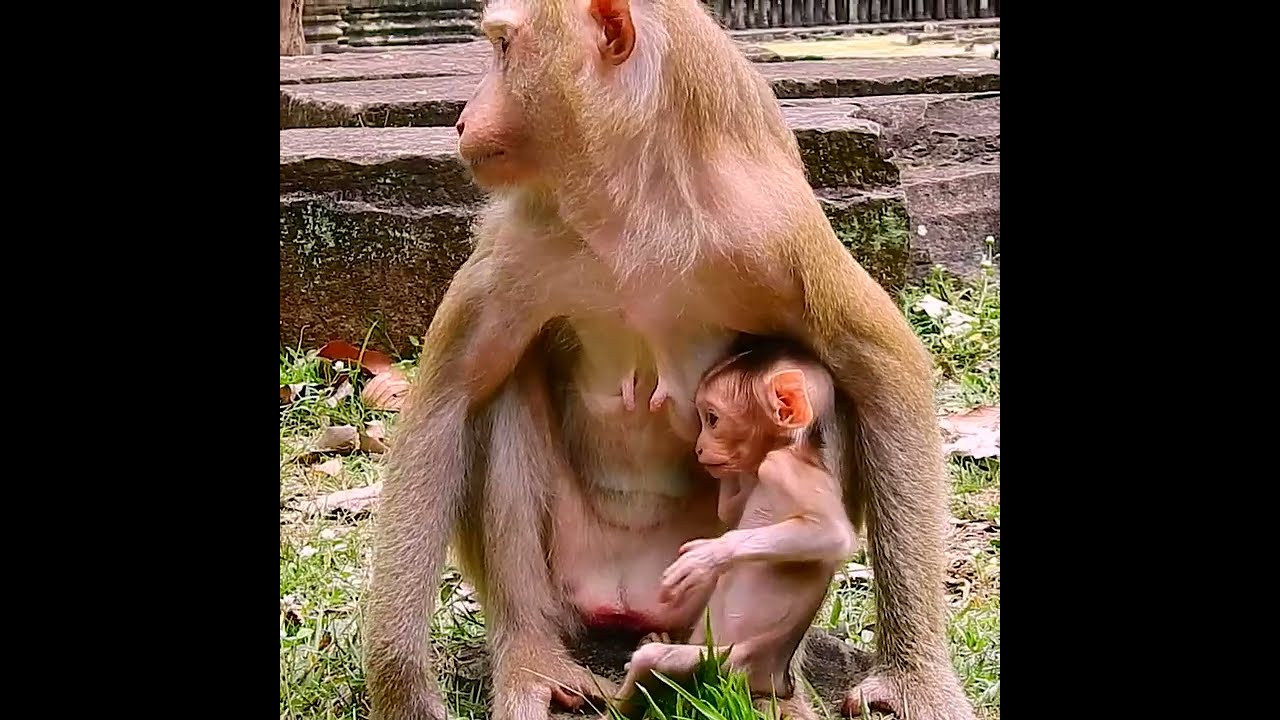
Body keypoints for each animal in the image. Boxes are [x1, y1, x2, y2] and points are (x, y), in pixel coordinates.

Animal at [608, 341, 857, 718]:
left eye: (712, 418)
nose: (699, 448)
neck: (793, 448)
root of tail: (775, 683)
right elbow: (730, 509)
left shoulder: (784, 469)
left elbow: (832, 535)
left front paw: (709, 556)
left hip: (722, 668)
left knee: (657, 663)